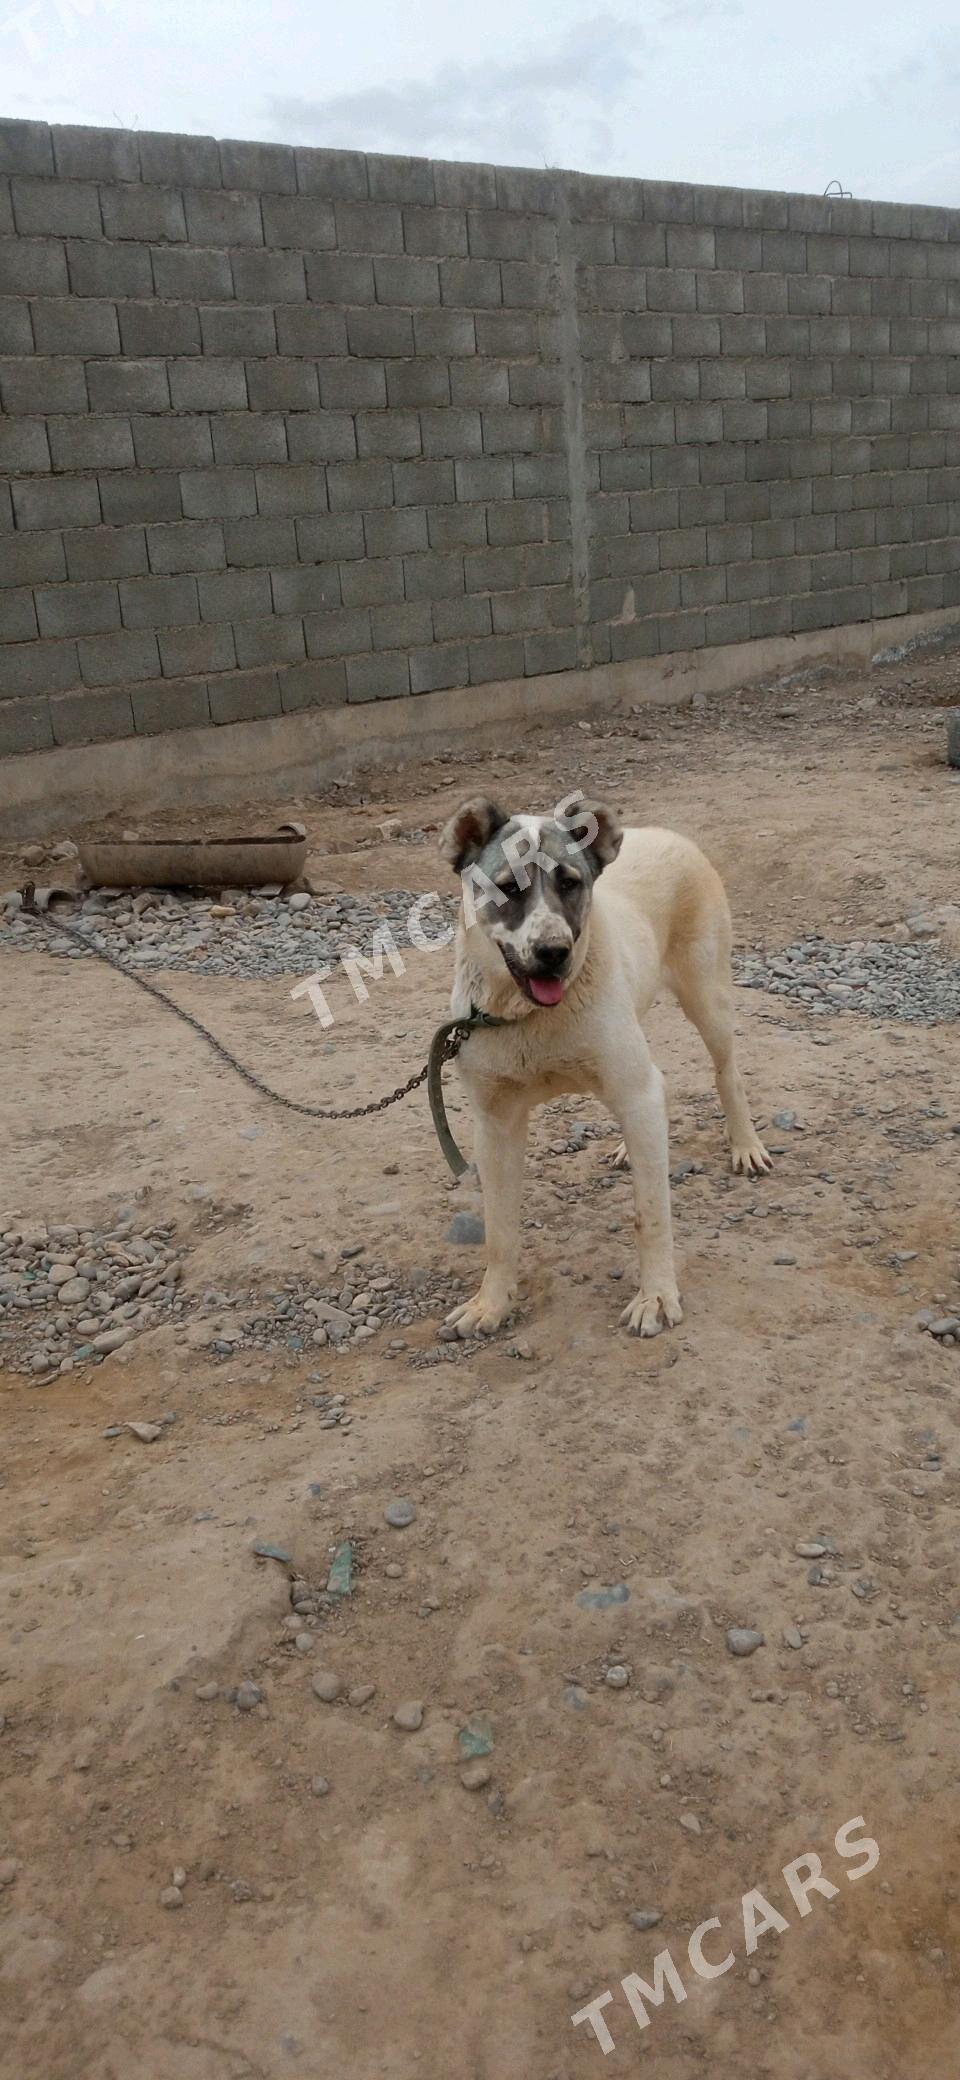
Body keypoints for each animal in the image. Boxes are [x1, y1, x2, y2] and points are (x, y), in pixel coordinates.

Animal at [438, 786, 768, 1339]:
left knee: (728, 1072)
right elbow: (499, 1231)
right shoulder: (495, 1124)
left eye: (570, 883)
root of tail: (668, 833)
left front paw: (656, 1296)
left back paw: (746, 1144)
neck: (530, 1016)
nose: (553, 952)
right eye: (508, 887)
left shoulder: (635, 1091)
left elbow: (651, 1215)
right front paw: (491, 1303)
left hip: (708, 999)